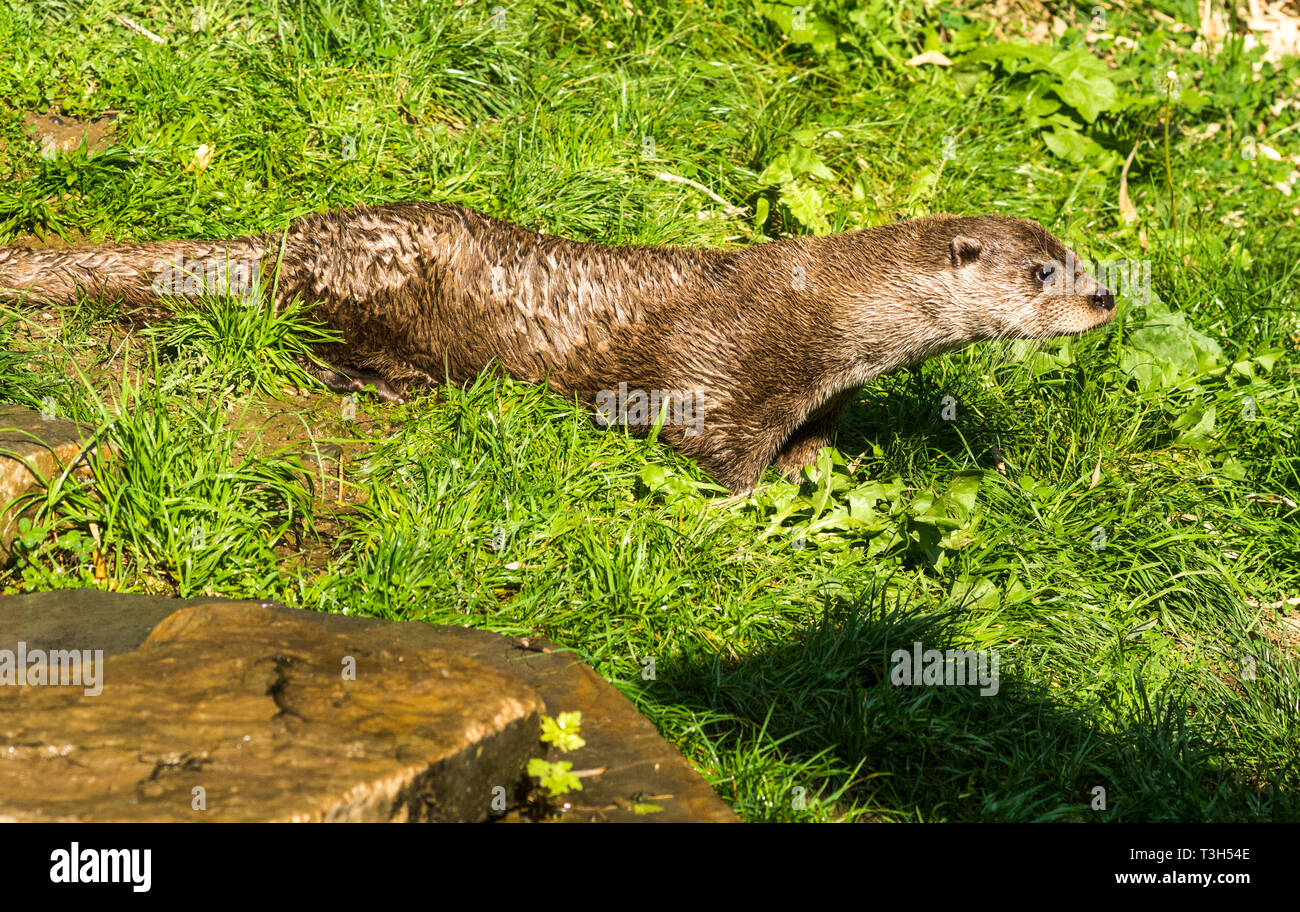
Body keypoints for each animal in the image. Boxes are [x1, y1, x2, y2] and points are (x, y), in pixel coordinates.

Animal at [0, 203, 1118, 496]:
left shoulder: (818, 390)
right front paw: (749, 505)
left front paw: (811, 468)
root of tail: (290, 235)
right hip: (368, 284)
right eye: (1041, 273)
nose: (1106, 297)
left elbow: (811, 439)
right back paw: (388, 383)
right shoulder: (719, 377)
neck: (830, 325)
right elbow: (712, 449)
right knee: (300, 333)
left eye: (1076, 252)